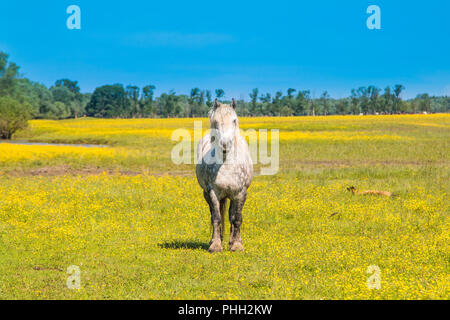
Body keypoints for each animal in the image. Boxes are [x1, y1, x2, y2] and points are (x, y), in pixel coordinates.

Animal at [196, 99, 253, 254]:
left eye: (234, 120)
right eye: (215, 121)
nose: (225, 144)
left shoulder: (240, 193)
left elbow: (237, 218)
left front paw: (237, 245)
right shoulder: (213, 192)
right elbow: (216, 217)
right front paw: (215, 245)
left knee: (232, 215)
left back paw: (233, 241)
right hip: (207, 194)